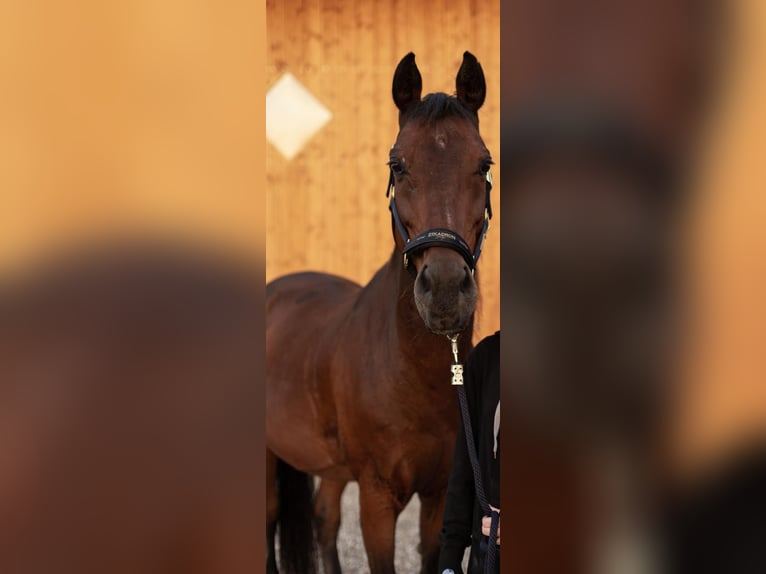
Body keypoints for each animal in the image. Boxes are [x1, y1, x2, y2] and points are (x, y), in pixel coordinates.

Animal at [268, 51, 496, 572]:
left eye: (484, 163)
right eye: (397, 163)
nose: (446, 290)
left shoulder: (437, 496)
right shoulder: (376, 499)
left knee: (324, 518)